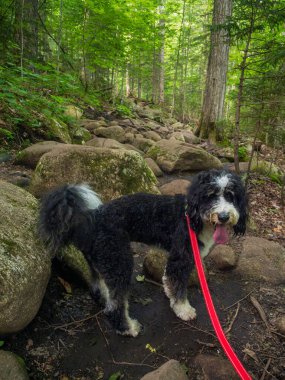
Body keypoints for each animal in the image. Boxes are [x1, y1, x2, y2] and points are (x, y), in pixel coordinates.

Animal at [38, 170, 246, 338]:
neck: (193, 217)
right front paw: (183, 309)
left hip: (102, 261)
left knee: (99, 288)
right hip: (119, 261)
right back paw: (128, 328)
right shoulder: (181, 257)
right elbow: (179, 285)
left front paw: (170, 294)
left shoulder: (174, 257)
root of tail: (90, 221)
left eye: (231, 196)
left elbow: (169, 279)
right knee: (116, 305)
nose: (224, 217)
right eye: (210, 195)